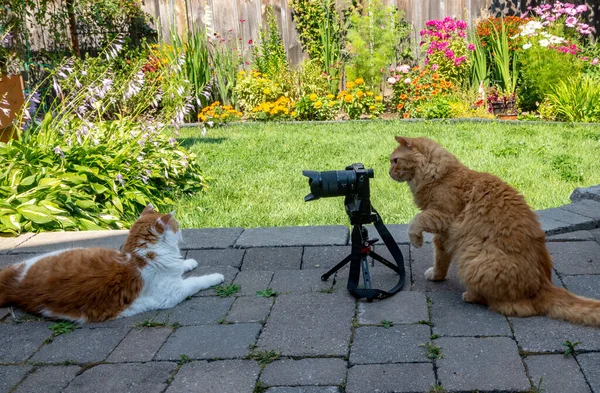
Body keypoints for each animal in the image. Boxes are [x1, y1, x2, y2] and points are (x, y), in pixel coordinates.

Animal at [0, 205, 224, 322]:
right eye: (177, 227)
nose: (183, 233)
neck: (140, 256)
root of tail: (14, 286)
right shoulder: (172, 293)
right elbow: (197, 282)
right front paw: (216, 277)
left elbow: (182, 266)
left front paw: (189, 262)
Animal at [390, 136, 600, 326]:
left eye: (395, 160)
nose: (388, 171)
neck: (441, 174)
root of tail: (544, 285)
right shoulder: (443, 236)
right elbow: (441, 259)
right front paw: (437, 276)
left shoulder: (441, 216)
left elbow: (415, 222)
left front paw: (416, 240)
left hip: (472, 259)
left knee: (504, 304)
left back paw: (470, 295)